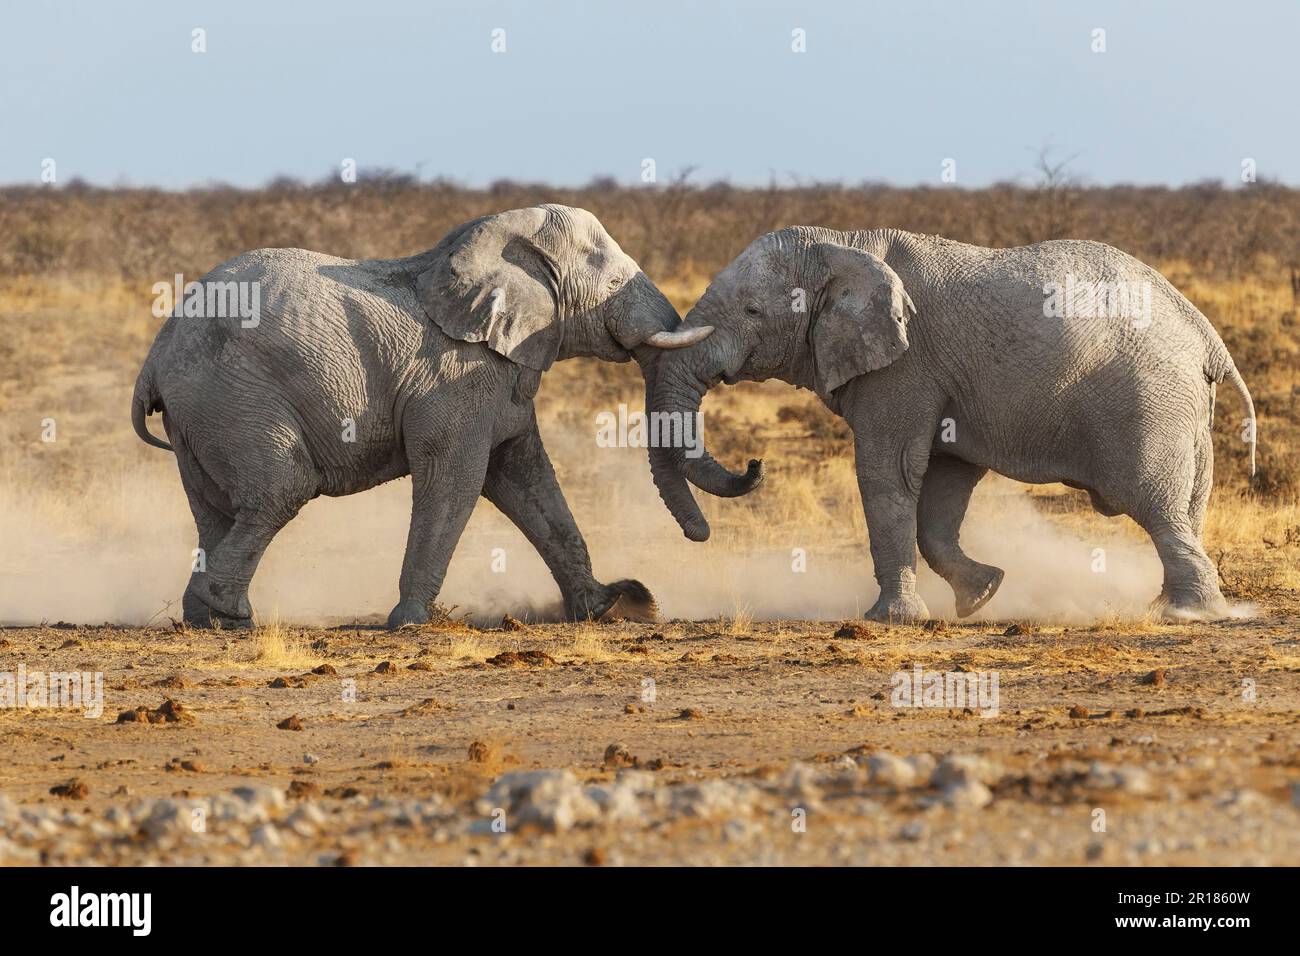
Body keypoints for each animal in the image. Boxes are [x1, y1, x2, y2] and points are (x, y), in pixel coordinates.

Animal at [131, 204, 712, 630]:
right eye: (612, 282)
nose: (698, 538)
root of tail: (154, 357)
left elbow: (527, 481)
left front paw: (608, 606)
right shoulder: (455, 376)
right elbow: (457, 478)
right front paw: (409, 622)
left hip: (202, 414)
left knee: (215, 509)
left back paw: (207, 618)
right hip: (233, 396)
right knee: (280, 490)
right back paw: (229, 612)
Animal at [647, 227, 1257, 623]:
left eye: (752, 312)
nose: (755, 465)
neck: (840, 245)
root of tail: (1206, 334)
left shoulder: (905, 364)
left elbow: (886, 473)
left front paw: (892, 620)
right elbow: (942, 484)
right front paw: (981, 596)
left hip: (1149, 402)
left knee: (1153, 502)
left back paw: (1193, 614)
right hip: (1183, 409)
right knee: (1186, 507)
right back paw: (1171, 605)